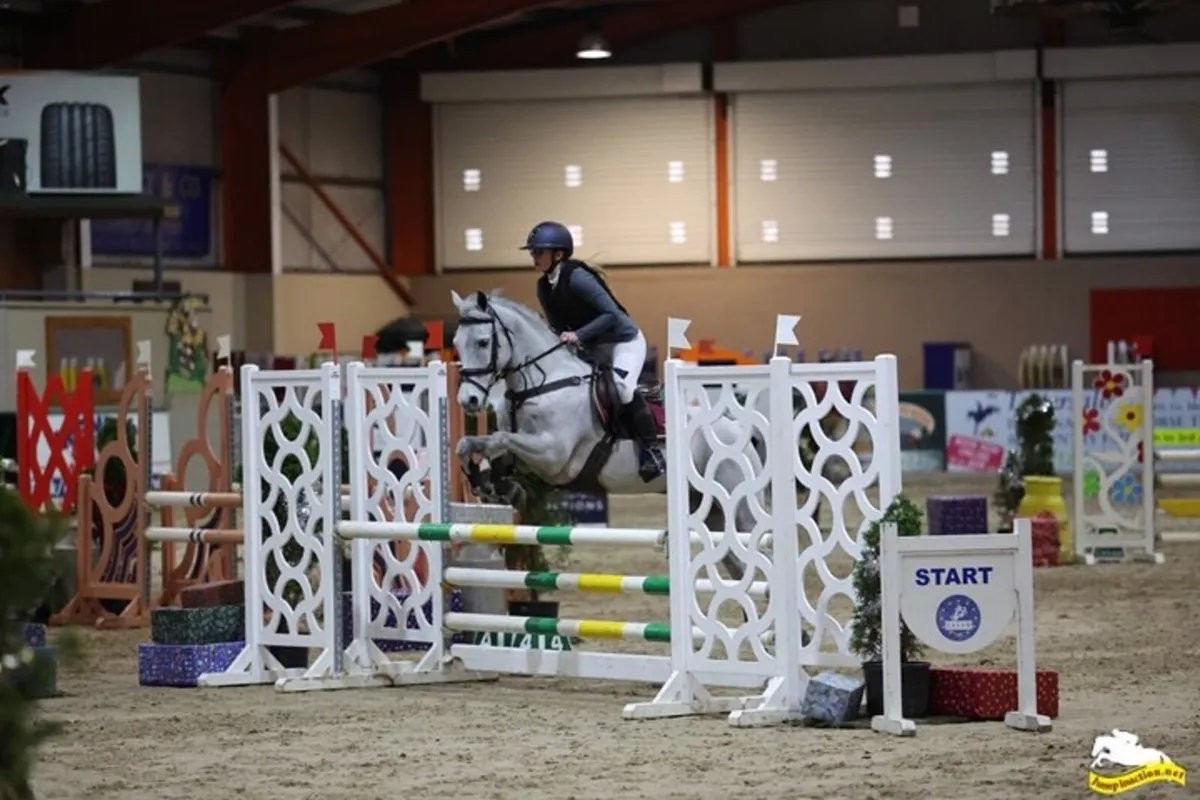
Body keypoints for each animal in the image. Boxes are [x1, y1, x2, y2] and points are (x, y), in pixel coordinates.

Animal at [449, 289, 772, 582]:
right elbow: (478, 446)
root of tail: (738, 429)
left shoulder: (554, 456)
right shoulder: (529, 452)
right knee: (739, 567)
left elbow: (502, 440)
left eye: (483, 342)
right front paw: (490, 483)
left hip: (738, 504)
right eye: (456, 344)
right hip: (710, 509)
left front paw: (496, 484)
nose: (469, 401)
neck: (543, 384)